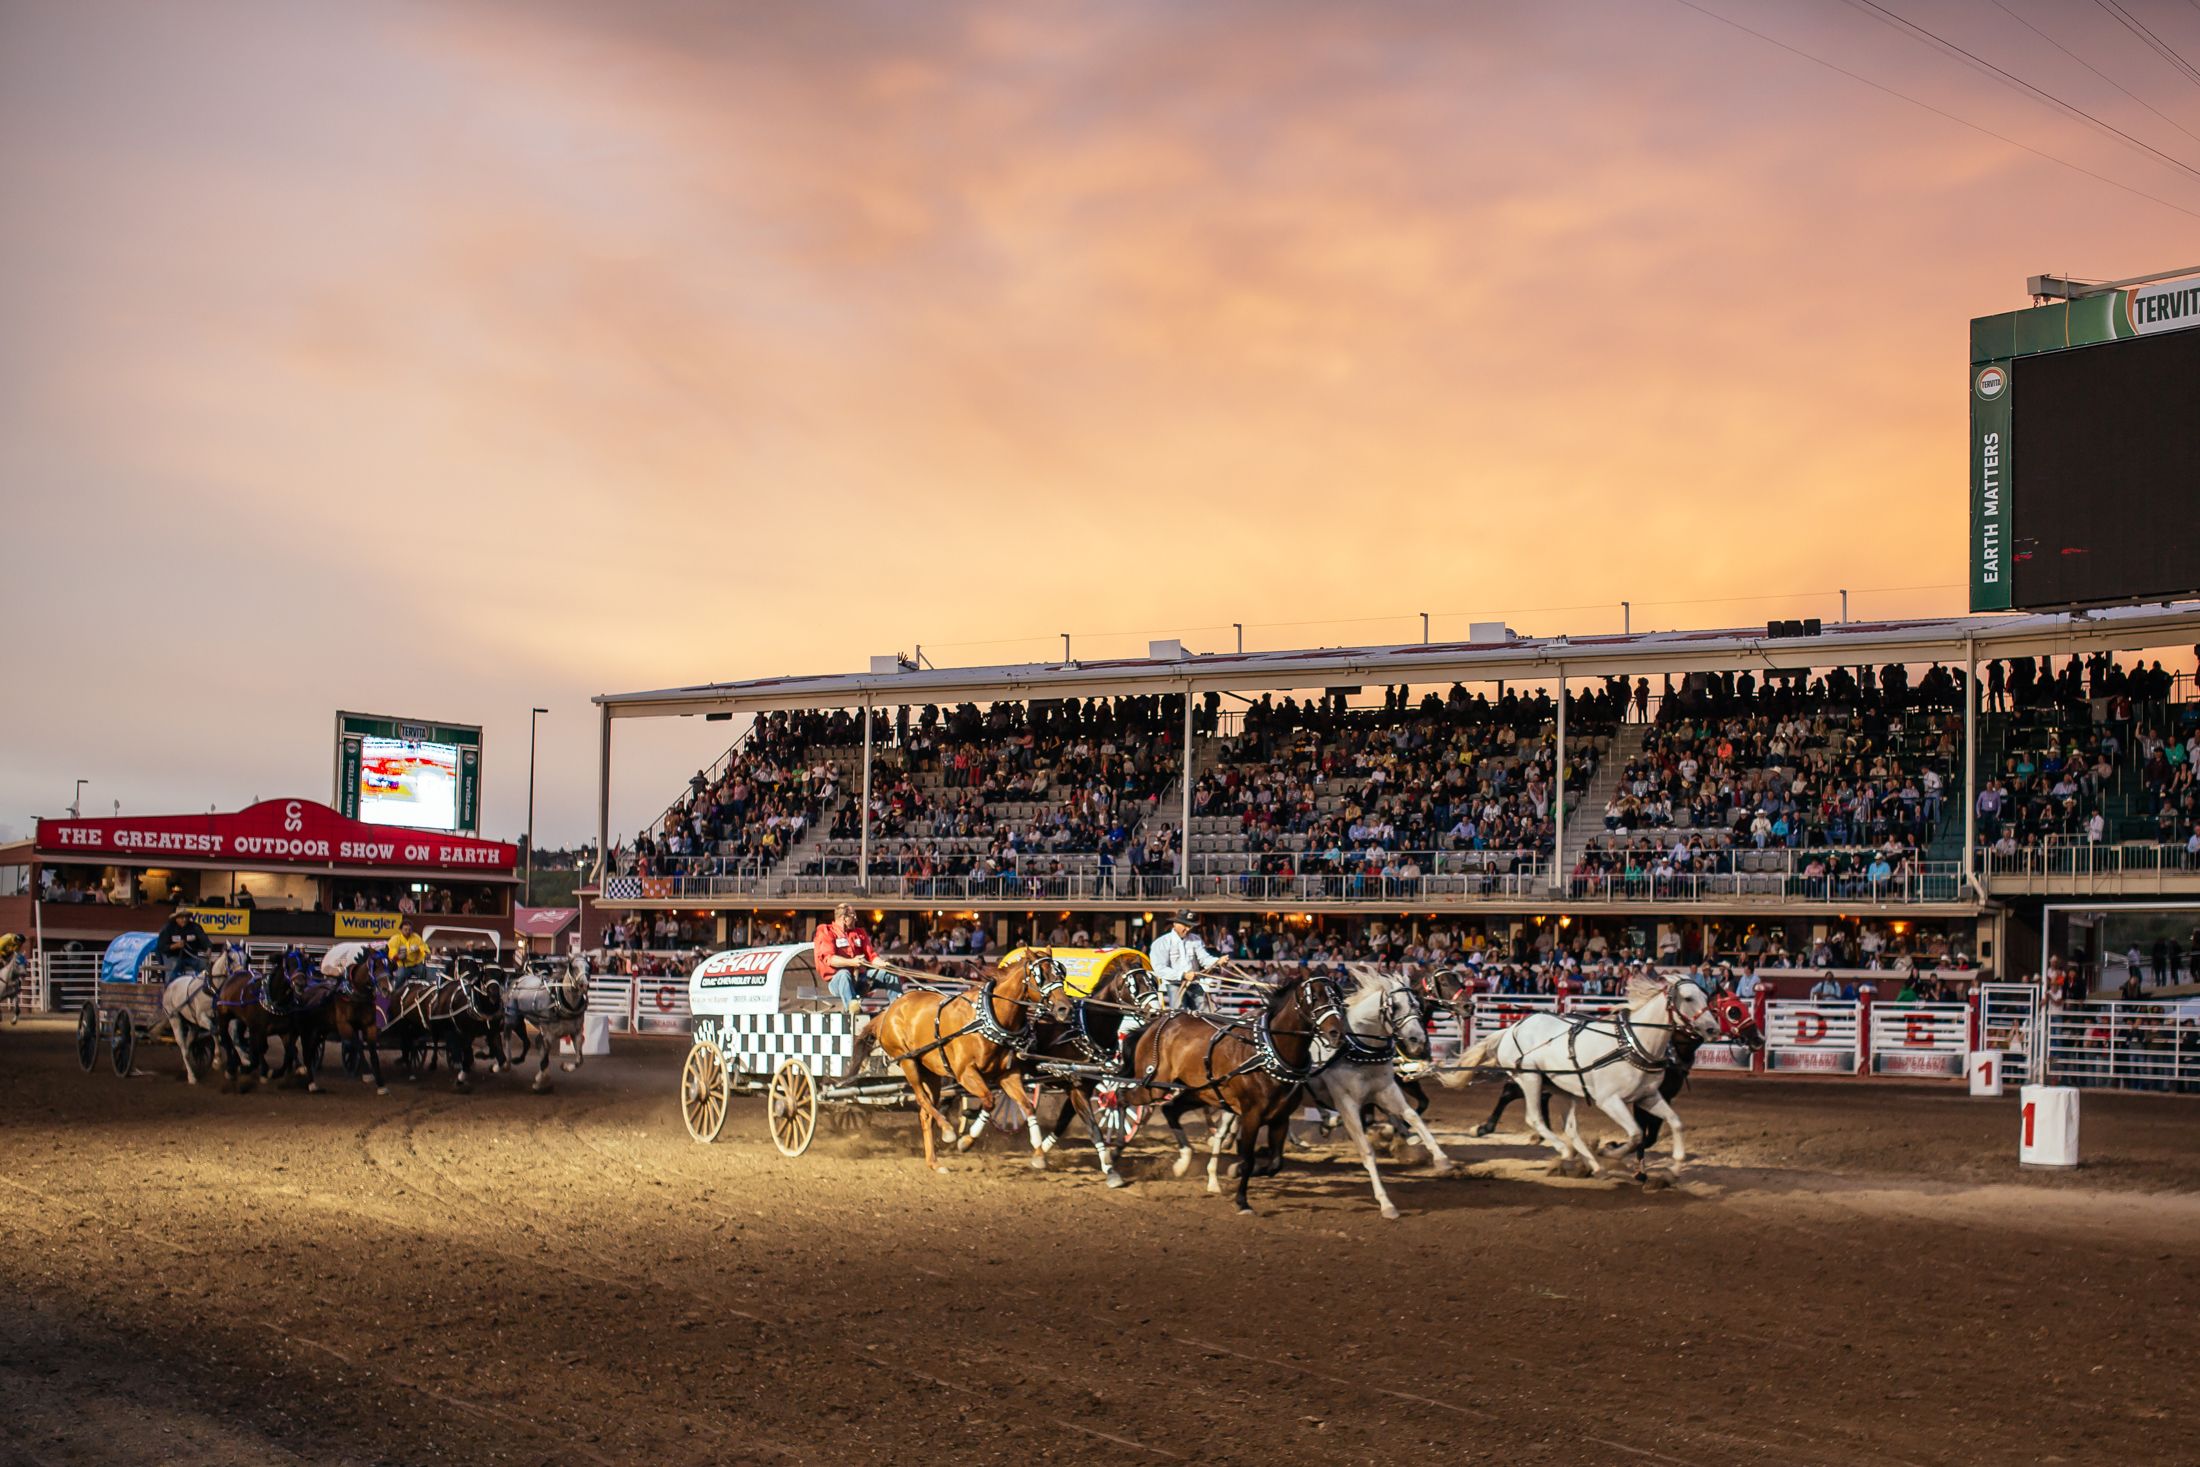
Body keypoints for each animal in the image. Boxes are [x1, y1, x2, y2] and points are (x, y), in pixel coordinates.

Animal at [503, 954, 589, 1090]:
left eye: (588, 967)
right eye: (573, 967)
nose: (584, 985)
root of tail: (521, 978)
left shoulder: (577, 1033)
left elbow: (579, 1060)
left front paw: (565, 1067)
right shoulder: (548, 1035)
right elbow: (545, 1060)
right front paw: (540, 1083)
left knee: (535, 1042)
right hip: (512, 1017)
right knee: (507, 1037)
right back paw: (505, 1064)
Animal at [1126, 976, 1346, 1214]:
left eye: (1337, 998)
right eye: (1314, 997)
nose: (1337, 1034)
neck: (1267, 1053)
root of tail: (1157, 1023)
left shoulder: (1280, 1118)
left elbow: (1275, 1164)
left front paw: (1235, 1171)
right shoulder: (1251, 1115)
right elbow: (1248, 1159)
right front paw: (1242, 1199)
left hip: (1198, 1092)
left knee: (1170, 1109)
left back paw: (1182, 1162)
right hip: (1152, 1086)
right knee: (1122, 1099)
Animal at [1302, 976, 1460, 1214]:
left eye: (1416, 1004)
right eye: (1395, 1006)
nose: (1418, 1040)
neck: (1358, 1050)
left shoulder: (1386, 1090)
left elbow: (1412, 1115)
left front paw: (1440, 1158)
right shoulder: (1347, 1103)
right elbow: (1366, 1150)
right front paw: (1385, 1203)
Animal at [1443, 976, 1716, 1178]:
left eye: (1707, 997)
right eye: (1688, 998)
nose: (1713, 1028)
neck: (1632, 1043)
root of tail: (1513, 1028)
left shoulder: (1648, 1097)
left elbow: (1675, 1123)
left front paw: (1674, 1169)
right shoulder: (1610, 1101)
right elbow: (1637, 1134)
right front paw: (1610, 1151)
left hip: (1562, 1088)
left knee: (1571, 1129)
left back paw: (1594, 1166)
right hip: (1530, 1078)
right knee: (1534, 1117)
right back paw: (1565, 1151)